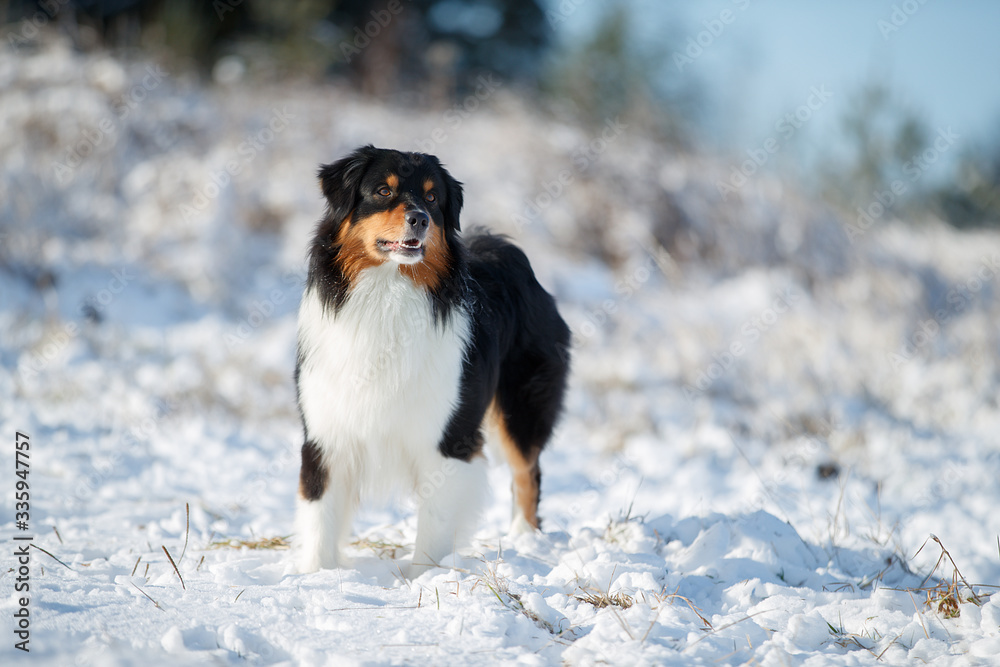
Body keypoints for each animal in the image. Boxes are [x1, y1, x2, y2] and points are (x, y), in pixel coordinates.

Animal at [294, 146, 572, 576]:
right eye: (383, 191)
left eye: (431, 197)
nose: (420, 219)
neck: (388, 294)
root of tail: (504, 248)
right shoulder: (326, 432)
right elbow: (319, 516)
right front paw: (315, 577)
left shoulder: (447, 437)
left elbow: (435, 522)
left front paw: (423, 578)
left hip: (521, 408)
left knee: (528, 473)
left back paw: (525, 540)